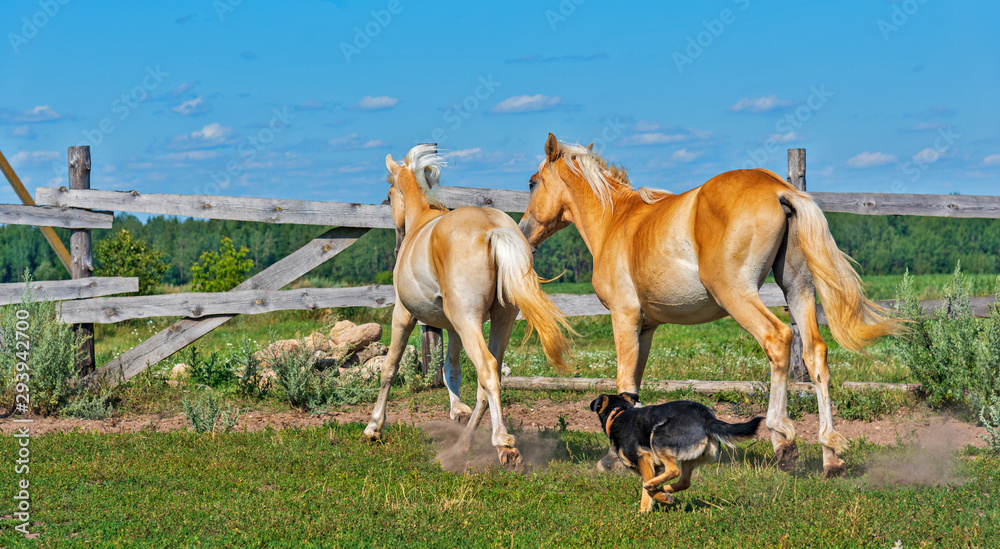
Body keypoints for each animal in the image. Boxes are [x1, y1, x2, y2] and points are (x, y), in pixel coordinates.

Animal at [363, 144, 573, 469]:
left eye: (388, 194)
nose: (397, 247)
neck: (422, 220)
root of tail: (492, 229)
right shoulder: (453, 328)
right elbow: (451, 368)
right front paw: (457, 412)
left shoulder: (404, 315)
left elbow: (390, 368)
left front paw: (373, 427)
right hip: (498, 321)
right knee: (490, 378)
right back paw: (471, 446)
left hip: (468, 319)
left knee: (486, 370)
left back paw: (502, 444)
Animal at [518, 133, 901, 477]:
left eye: (532, 182)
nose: (524, 233)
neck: (617, 222)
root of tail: (780, 189)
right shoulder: (646, 327)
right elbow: (635, 385)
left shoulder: (624, 318)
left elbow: (624, 382)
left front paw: (611, 459)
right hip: (797, 288)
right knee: (815, 353)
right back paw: (830, 456)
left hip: (736, 294)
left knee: (778, 340)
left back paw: (783, 441)